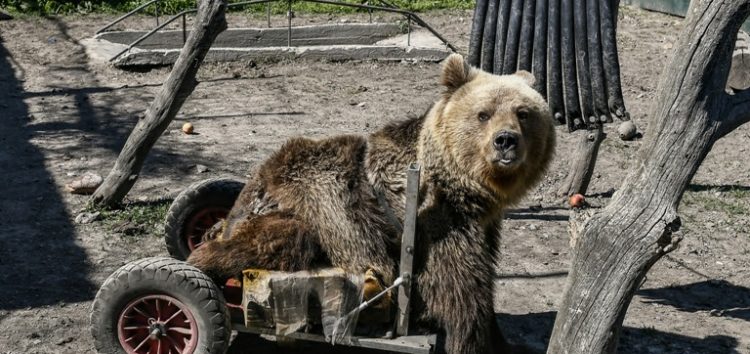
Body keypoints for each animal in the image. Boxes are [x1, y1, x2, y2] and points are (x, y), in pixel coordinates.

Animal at [188, 53, 560, 354]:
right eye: (483, 114)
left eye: (523, 113)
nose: (505, 141)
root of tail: (241, 203)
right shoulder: (439, 224)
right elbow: (462, 294)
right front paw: (474, 341)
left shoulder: (482, 225)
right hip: (300, 207)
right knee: (277, 241)